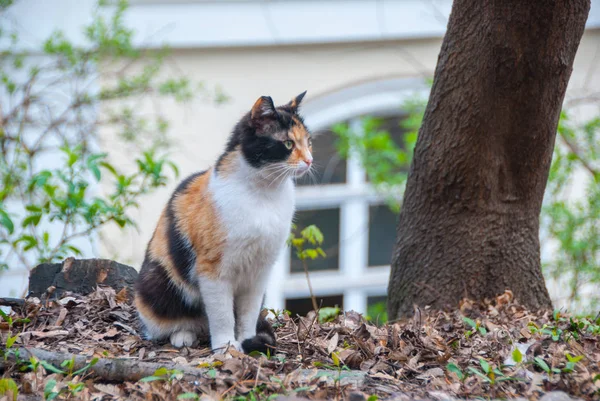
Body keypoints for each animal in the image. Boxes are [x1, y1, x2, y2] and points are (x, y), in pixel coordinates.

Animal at [135, 91, 314, 354]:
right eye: (288, 144)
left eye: (308, 142)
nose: (310, 160)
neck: (265, 195)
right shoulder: (213, 269)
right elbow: (222, 314)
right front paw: (226, 347)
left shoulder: (260, 270)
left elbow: (248, 312)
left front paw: (248, 340)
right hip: (158, 284)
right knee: (166, 325)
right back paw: (183, 335)